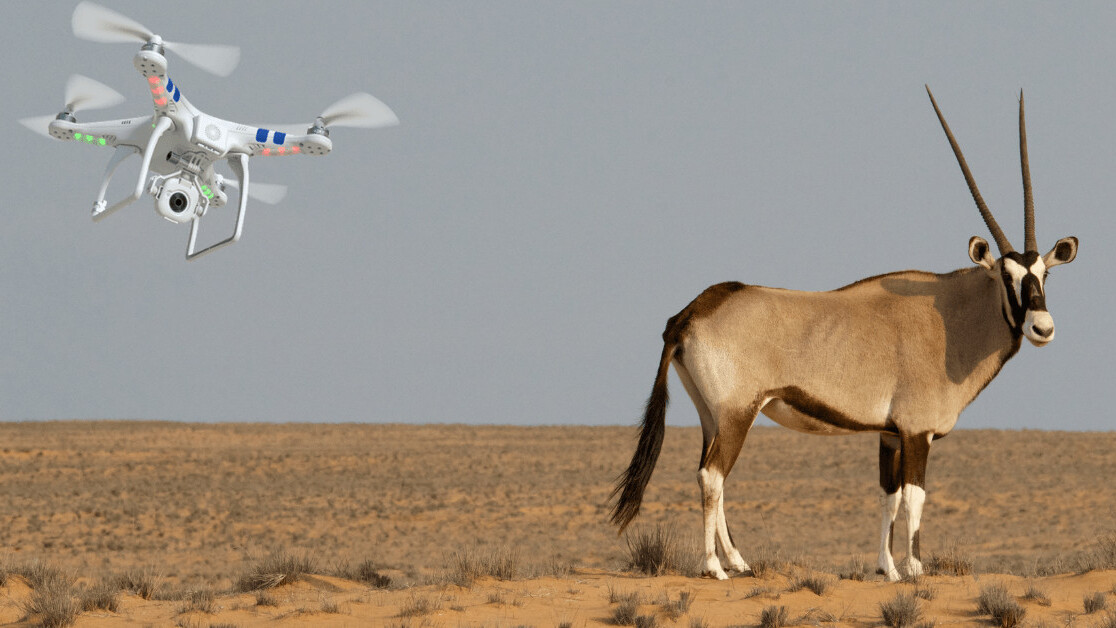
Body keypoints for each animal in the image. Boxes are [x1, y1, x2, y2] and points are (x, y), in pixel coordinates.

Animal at [616, 85, 1075, 584]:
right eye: (1006, 277)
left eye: (1044, 274)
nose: (1042, 327)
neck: (950, 318)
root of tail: (690, 312)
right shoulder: (917, 432)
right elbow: (915, 498)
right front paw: (915, 568)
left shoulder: (890, 434)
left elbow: (888, 497)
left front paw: (887, 569)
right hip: (738, 413)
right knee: (712, 476)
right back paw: (715, 567)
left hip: (710, 415)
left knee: (708, 472)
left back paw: (739, 561)